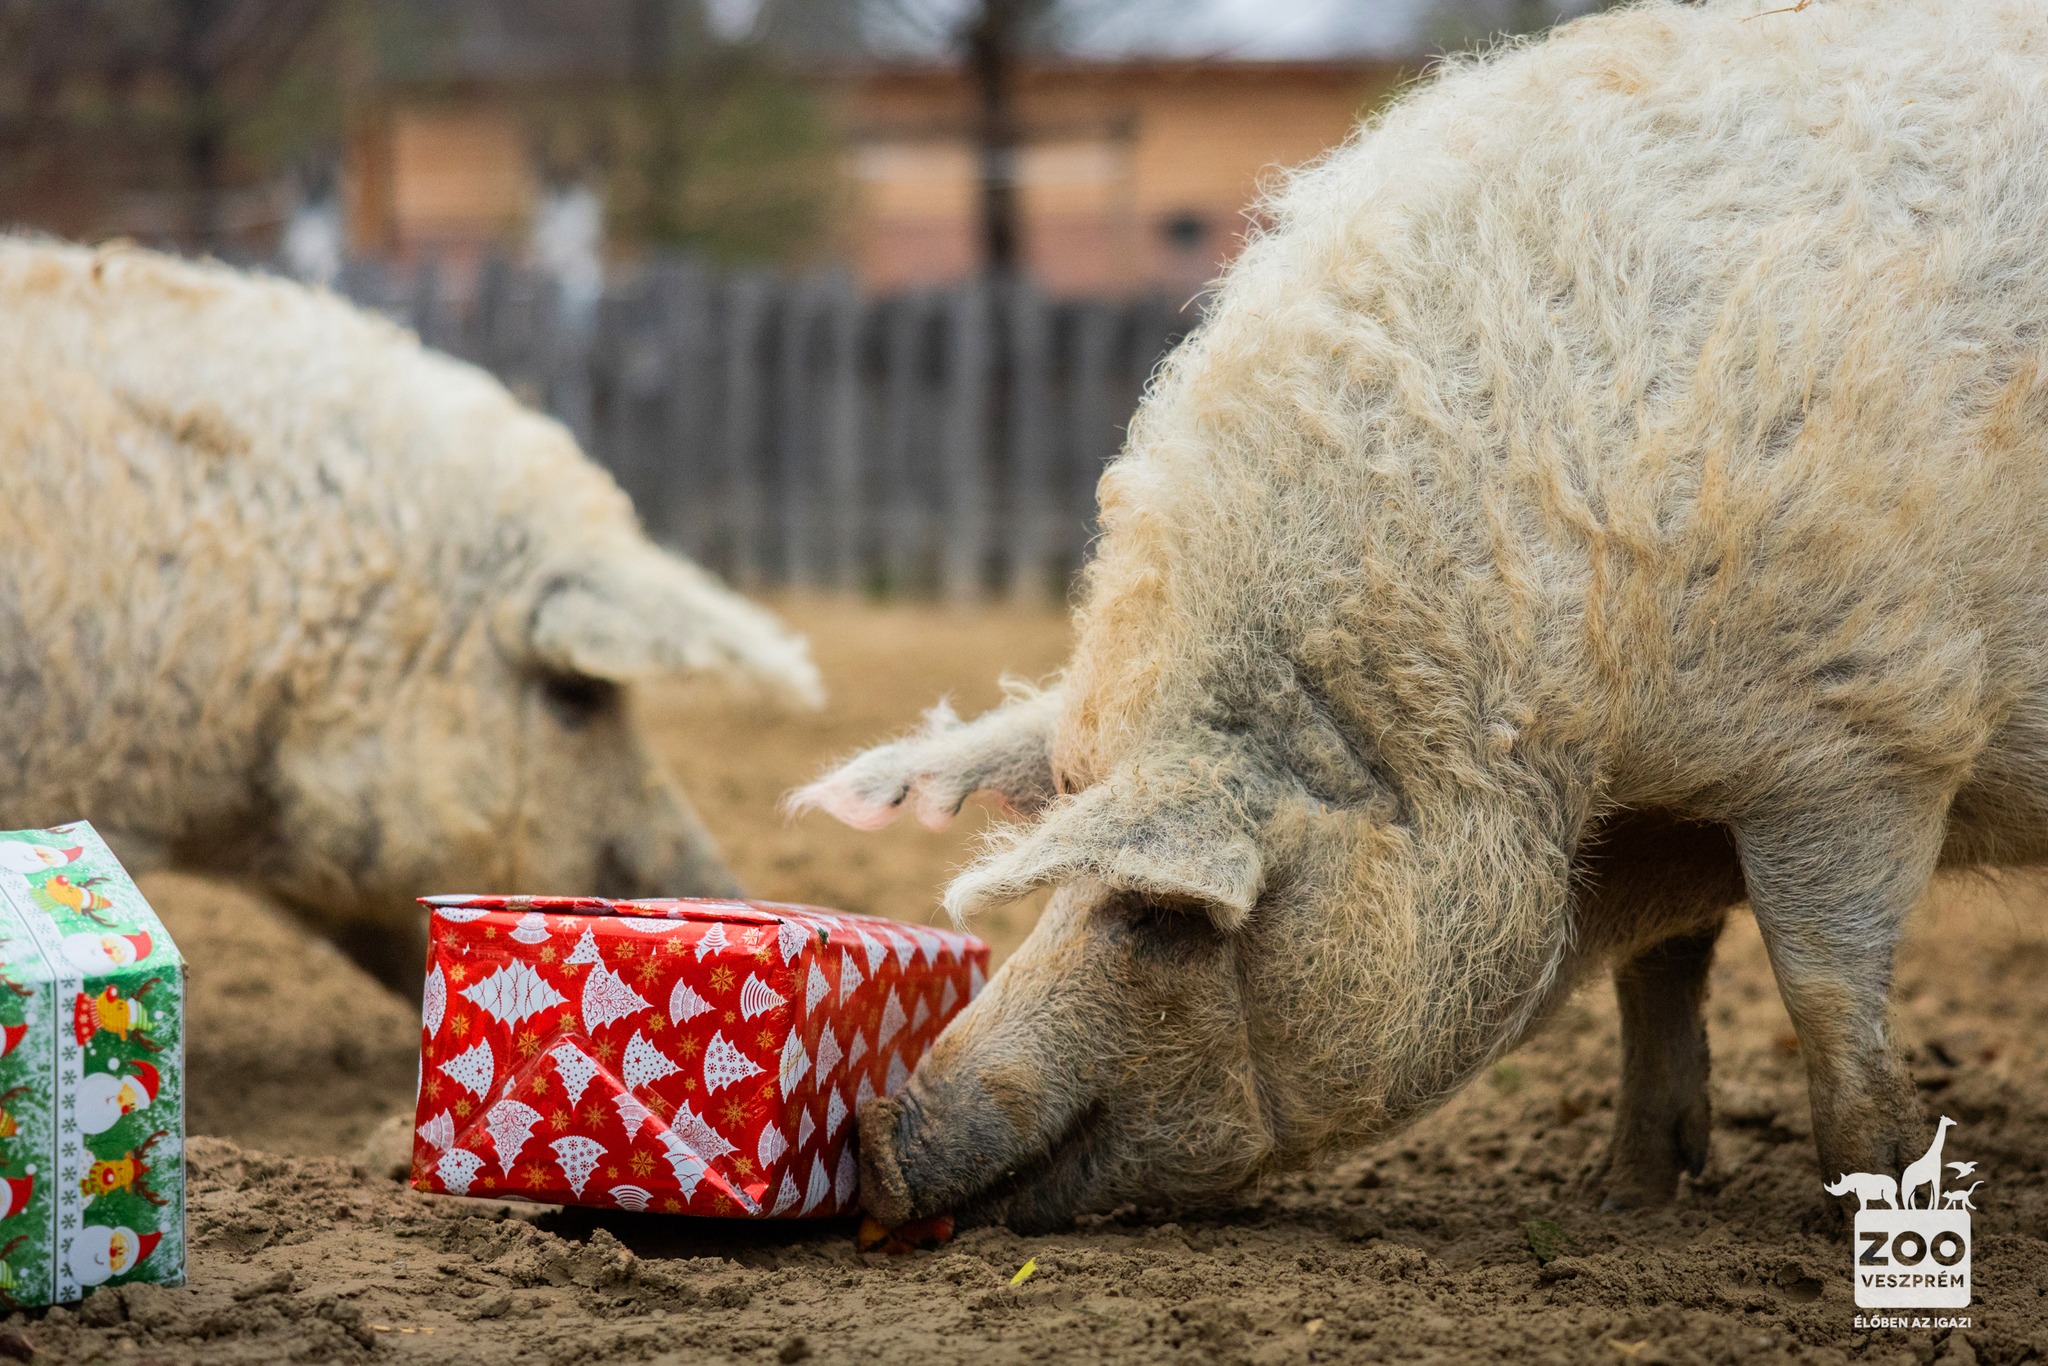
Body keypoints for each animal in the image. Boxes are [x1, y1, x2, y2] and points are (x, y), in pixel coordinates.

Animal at [793, 0, 2048, 1228]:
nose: (881, 1137)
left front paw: (1855, 1201)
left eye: (1158, 917)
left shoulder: (1867, 737)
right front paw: (1623, 1197)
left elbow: (1821, 979)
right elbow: (1657, 974)